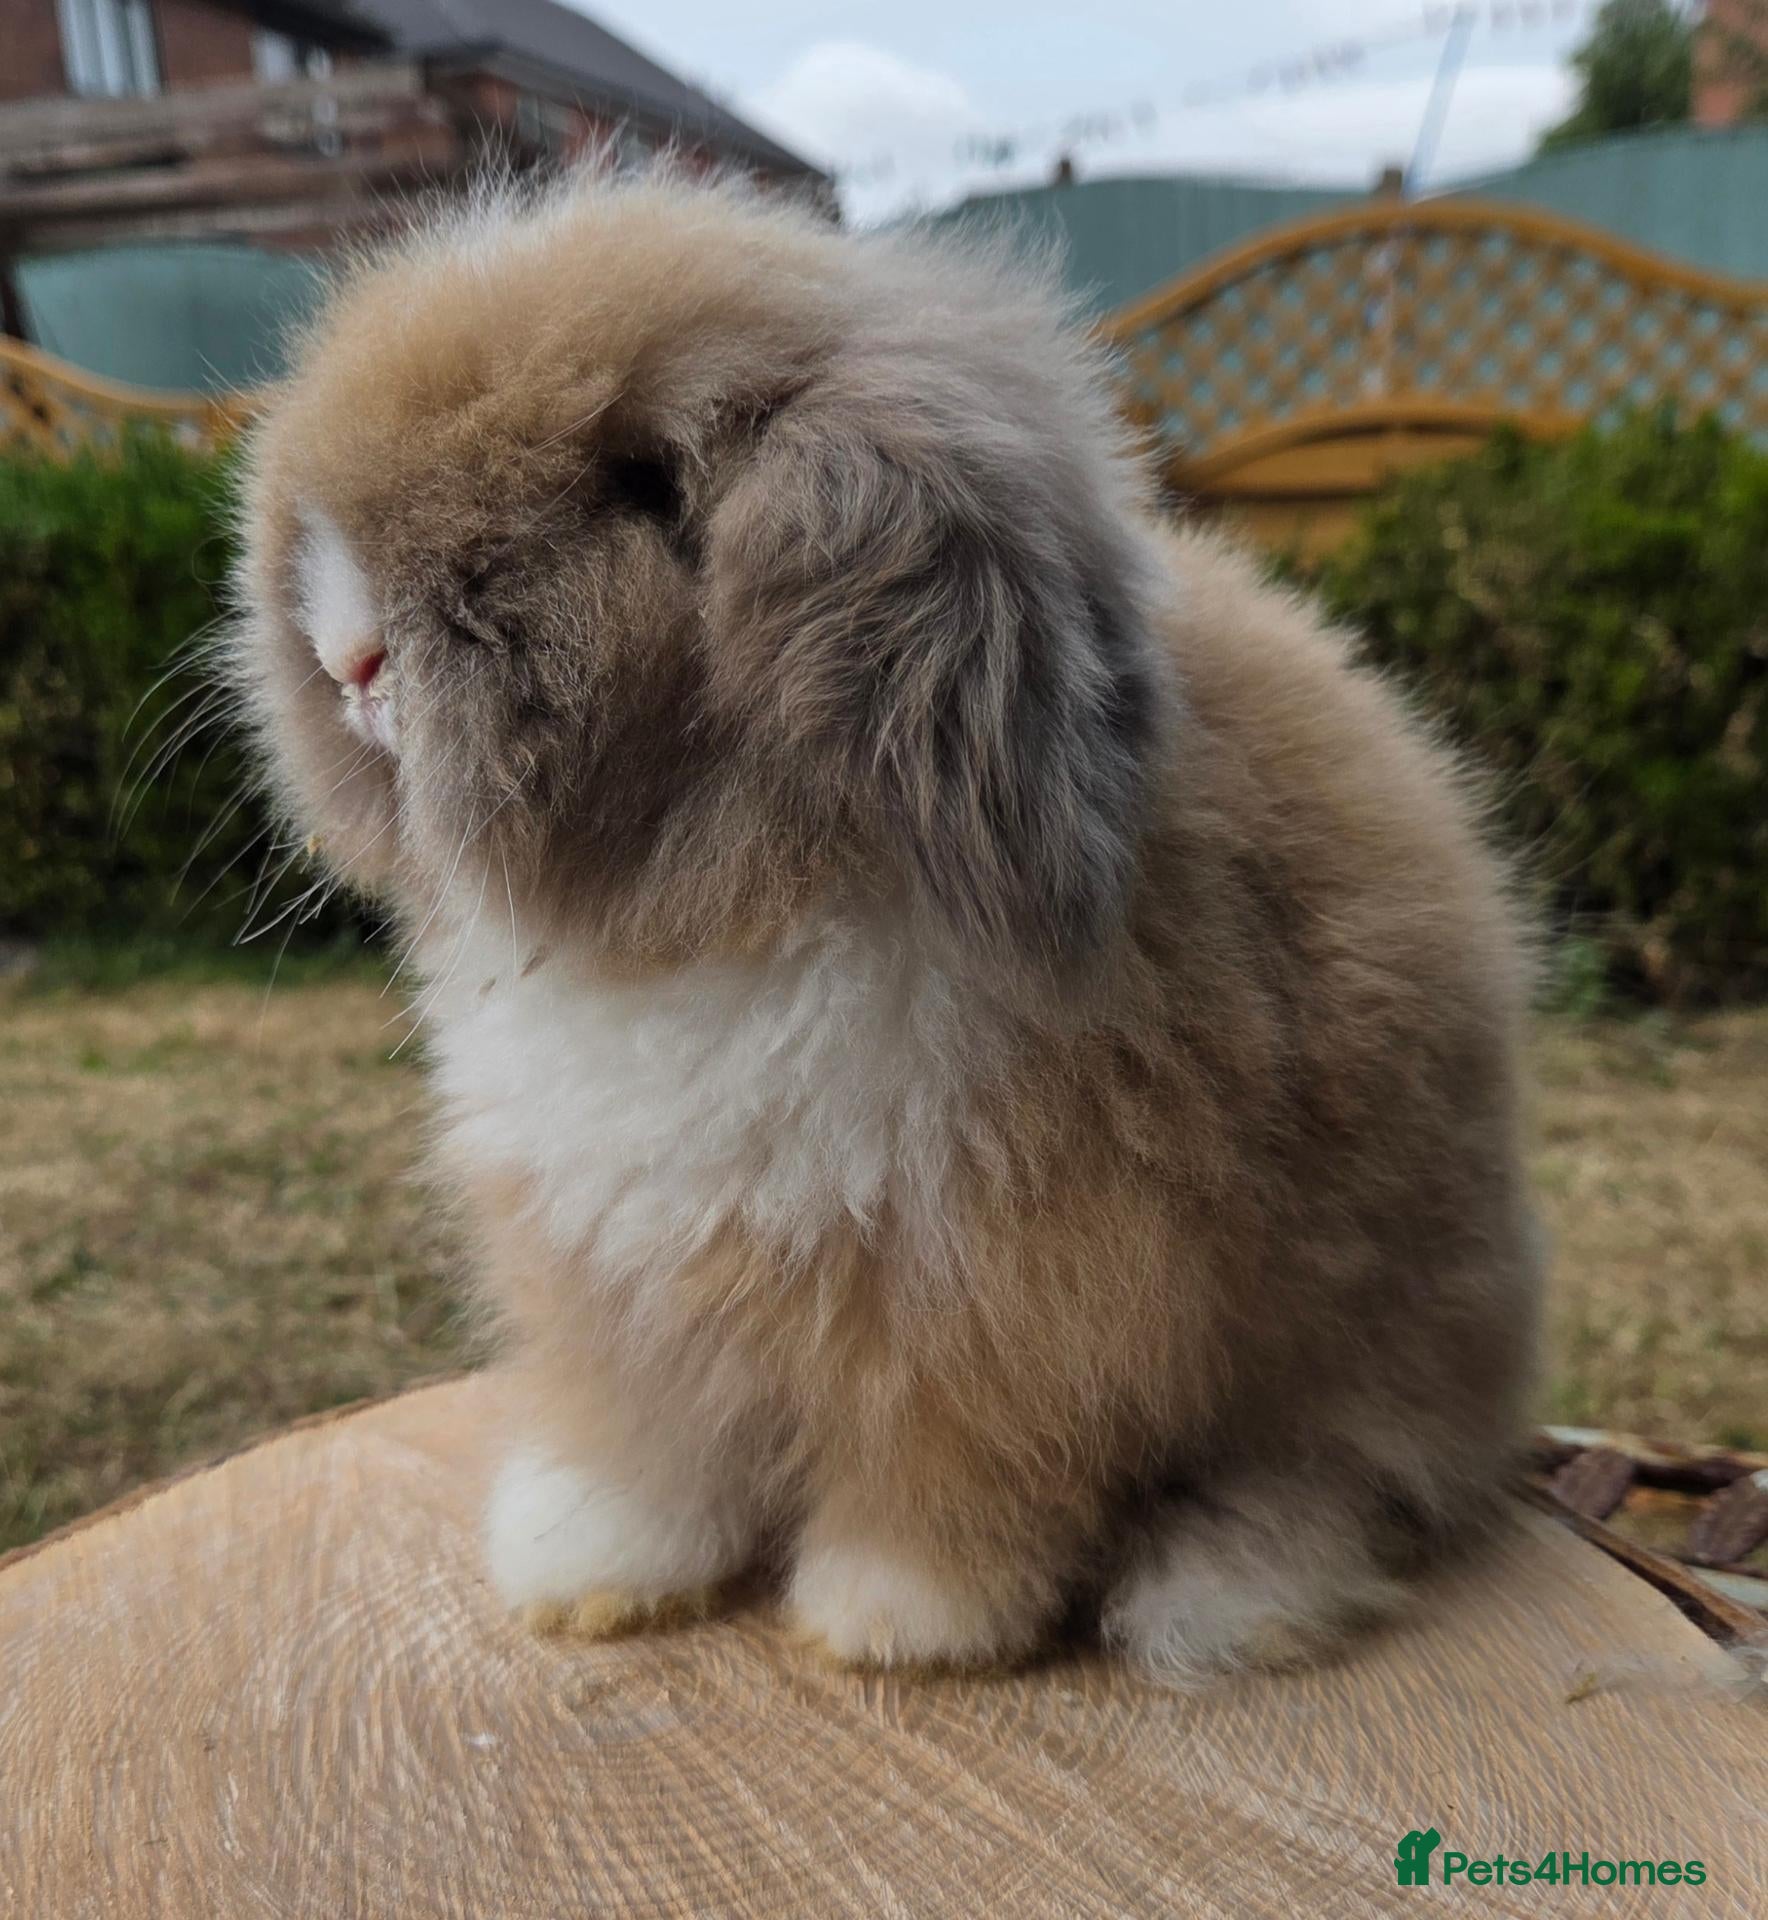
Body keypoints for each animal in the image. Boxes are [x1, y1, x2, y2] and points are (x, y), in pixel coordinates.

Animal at [230, 171, 1541, 1680]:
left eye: (645, 485)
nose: (350, 652)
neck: (700, 917)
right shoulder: (620, 1275)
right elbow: (648, 1447)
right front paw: (587, 1574)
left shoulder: (1008, 1294)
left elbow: (943, 1469)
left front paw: (892, 1622)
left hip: (1375, 1331)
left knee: (1345, 1476)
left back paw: (1217, 1591)